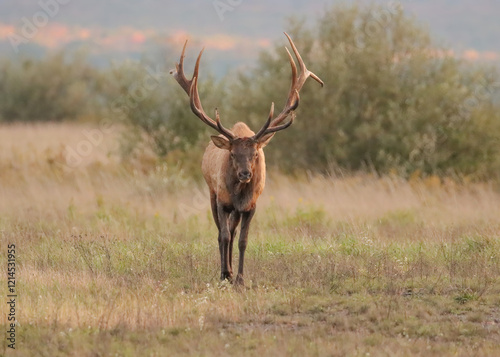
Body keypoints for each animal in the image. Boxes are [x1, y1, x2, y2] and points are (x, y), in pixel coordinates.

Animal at [170, 32, 322, 284]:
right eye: (232, 153)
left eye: (255, 153)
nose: (245, 174)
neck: (239, 193)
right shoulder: (221, 200)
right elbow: (223, 236)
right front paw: (224, 274)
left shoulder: (251, 206)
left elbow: (242, 240)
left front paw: (240, 278)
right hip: (211, 192)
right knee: (222, 233)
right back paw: (226, 270)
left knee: (232, 232)